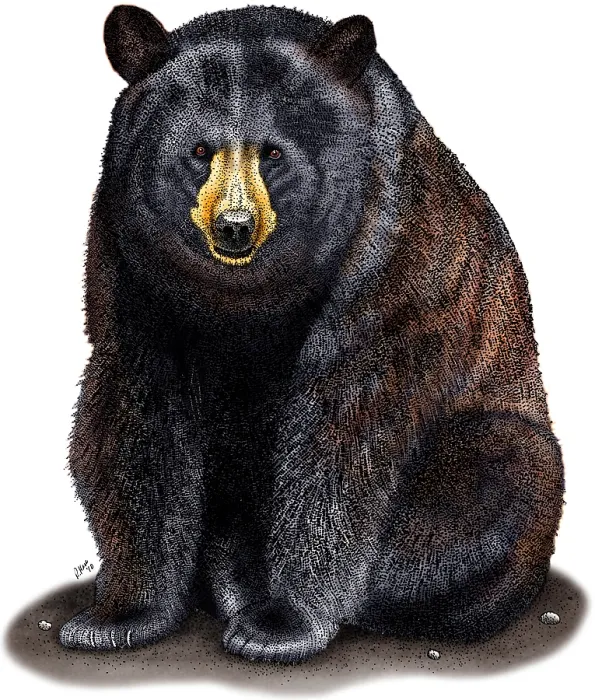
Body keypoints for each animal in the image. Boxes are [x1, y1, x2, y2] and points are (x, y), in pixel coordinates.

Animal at [59, 4, 564, 663]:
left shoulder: (391, 253)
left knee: (496, 471)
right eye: (199, 149)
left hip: (495, 445)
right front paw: (119, 615)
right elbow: (137, 413)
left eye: (273, 152)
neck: (248, 295)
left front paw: (282, 624)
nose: (235, 228)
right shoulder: (131, 257)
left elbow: (344, 431)